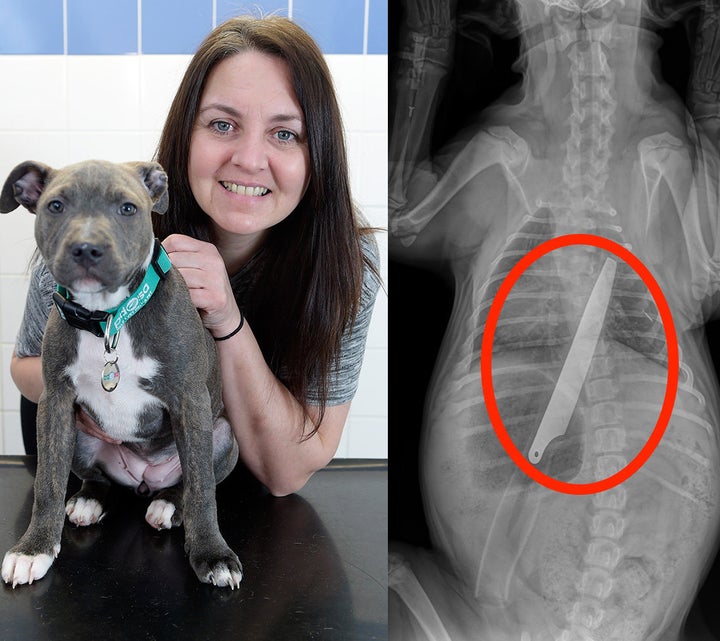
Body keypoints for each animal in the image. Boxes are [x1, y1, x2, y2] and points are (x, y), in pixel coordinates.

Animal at [0, 159, 242, 584]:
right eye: (56, 206)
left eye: (127, 208)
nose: (86, 248)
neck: (109, 318)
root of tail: (144, 481)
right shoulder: (55, 401)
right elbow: (47, 481)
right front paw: (34, 549)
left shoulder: (191, 401)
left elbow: (202, 491)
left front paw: (213, 555)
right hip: (80, 434)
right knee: (95, 478)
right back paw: (88, 501)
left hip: (224, 436)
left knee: (189, 482)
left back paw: (169, 505)